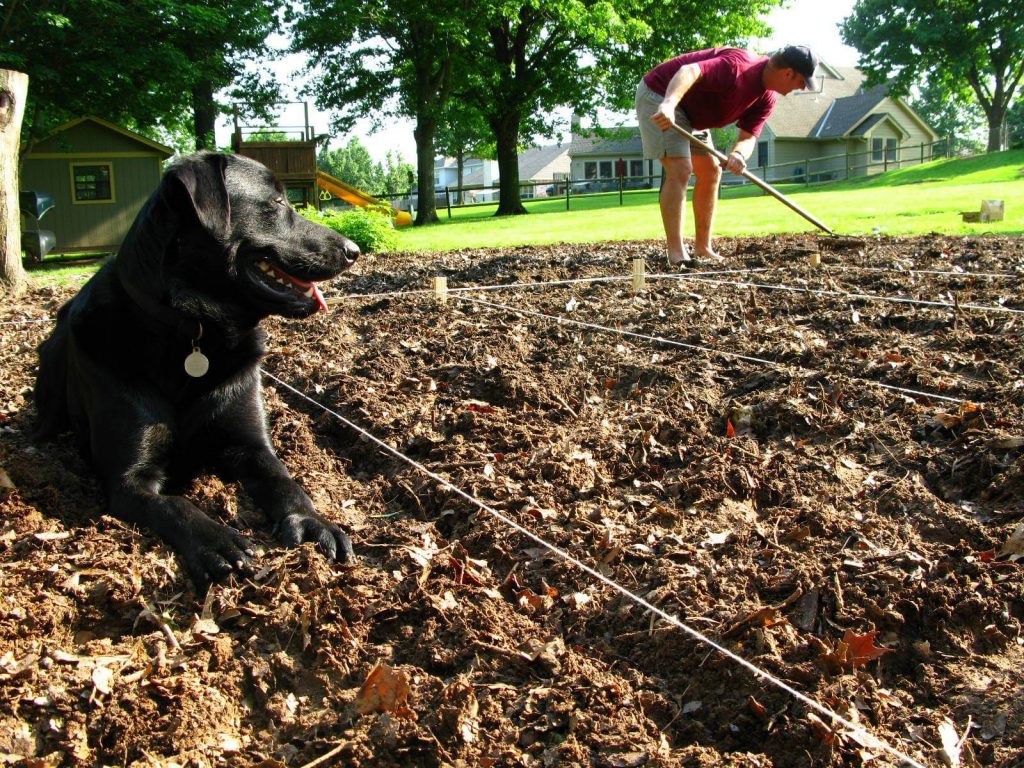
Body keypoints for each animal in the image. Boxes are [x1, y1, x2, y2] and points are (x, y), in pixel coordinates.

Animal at [35, 153, 360, 593]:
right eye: (276, 202)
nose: (354, 250)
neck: (193, 328)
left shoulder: (250, 445)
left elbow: (285, 481)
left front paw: (313, 520)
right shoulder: (128, 482)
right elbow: (174, 504)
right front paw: (217, 540)